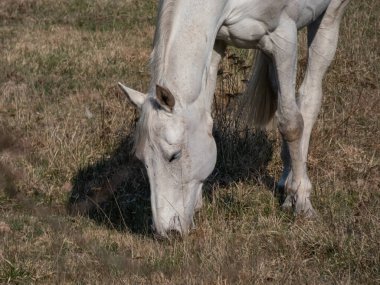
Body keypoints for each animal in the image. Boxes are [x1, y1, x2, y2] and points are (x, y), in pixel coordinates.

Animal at [118, 0, 350, 236]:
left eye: (174, 156)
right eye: (142, 159)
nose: (167, 231)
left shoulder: (284, 38)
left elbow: (291, 124)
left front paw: (301, 201)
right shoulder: (217, 43)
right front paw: (198, 203)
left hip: (330, 16)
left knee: (308, 99)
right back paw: (286, 182)